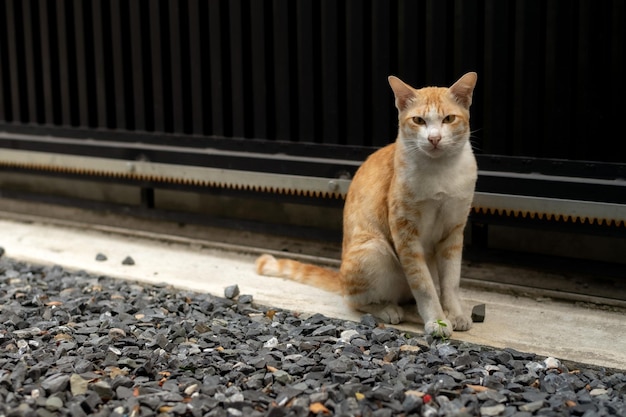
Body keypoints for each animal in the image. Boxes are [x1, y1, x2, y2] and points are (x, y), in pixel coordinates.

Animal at [254, 71, 478, 336]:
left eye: (449, 119)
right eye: (419, 120)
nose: (434, 138)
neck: (440, 171)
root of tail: (340, 275)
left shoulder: (454, 231)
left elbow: (451, 281)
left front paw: (455, 314)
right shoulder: (405, 234)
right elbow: (423, 285)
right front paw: (437, 320)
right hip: (374, 249)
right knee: (354, 300)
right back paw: (388, 309)